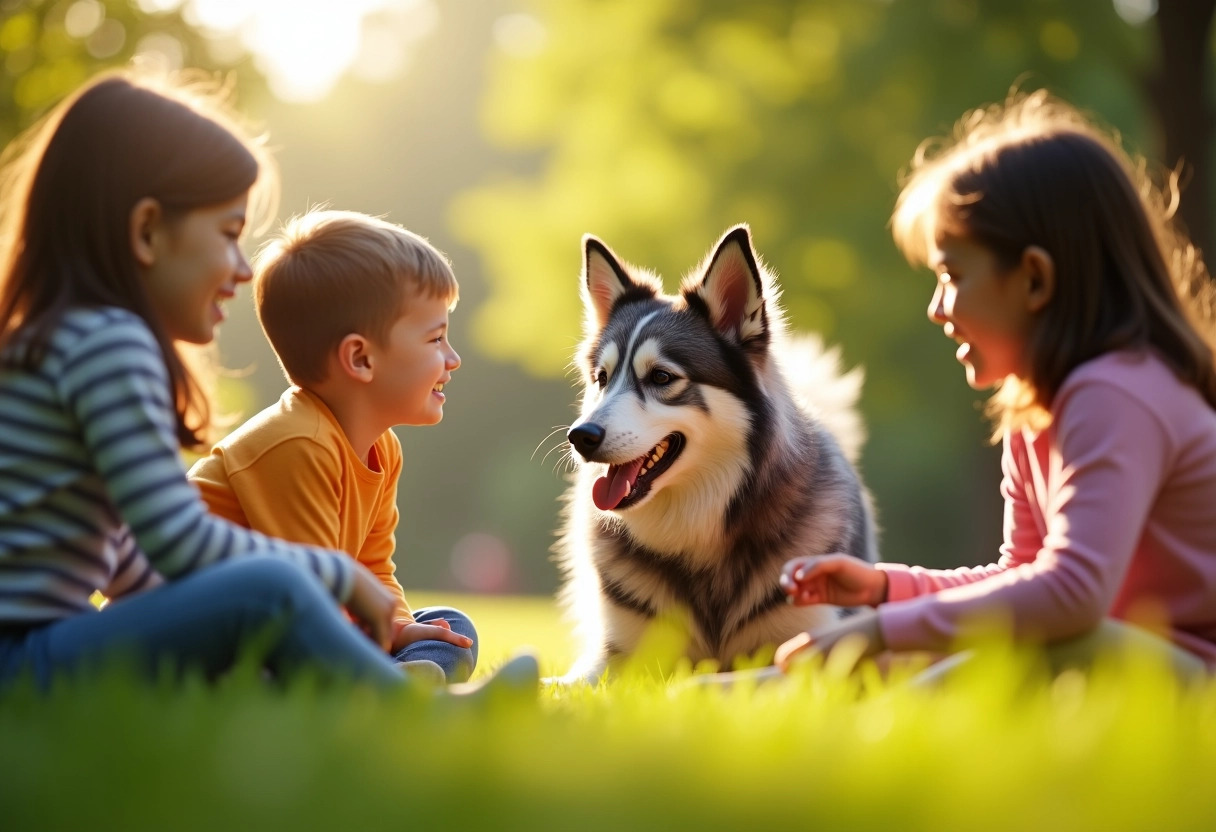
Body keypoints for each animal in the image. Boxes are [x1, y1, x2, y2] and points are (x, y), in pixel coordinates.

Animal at [556, 222, 880, 681]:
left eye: (661, 377)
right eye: (602, 378)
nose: (580, 436)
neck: (699, 535)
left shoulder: (810, 644)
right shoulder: (616, 659)